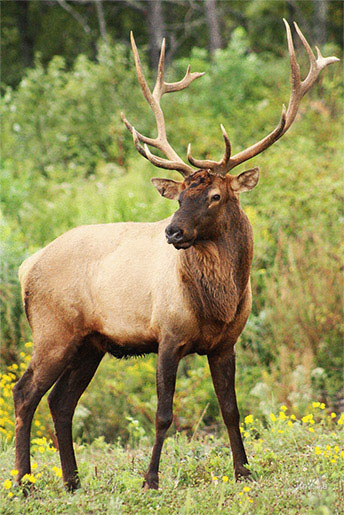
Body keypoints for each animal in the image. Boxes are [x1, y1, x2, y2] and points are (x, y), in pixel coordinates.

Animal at [12, 20, 338, 494]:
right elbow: (164, 414)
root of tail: (27, 265)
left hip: (90, 342)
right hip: (53, 329)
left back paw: (72, 482)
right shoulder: (166, 334)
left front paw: (244, 473)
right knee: (25, 394)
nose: (172, 231)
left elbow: (231, 410)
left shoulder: (225, 344)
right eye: (180, 195)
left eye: (216, 195)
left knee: (60, 401)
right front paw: (150, 480)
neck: (216, 304)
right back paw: (25, 483)